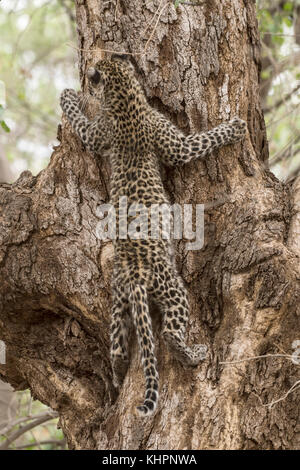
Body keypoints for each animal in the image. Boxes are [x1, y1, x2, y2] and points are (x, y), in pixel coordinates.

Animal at [60, 53, 246, 416]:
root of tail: (134, 274)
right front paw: (234, 128)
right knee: (170, 334)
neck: (124, 101)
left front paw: (70, 96)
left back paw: (118, 377)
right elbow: (197, 142)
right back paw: (193, 354)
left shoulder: (97, 134)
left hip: (119, 298)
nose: (98, 62)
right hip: (172, 289)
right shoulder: (176, 145)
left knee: (117, 347)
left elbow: (82, 126)